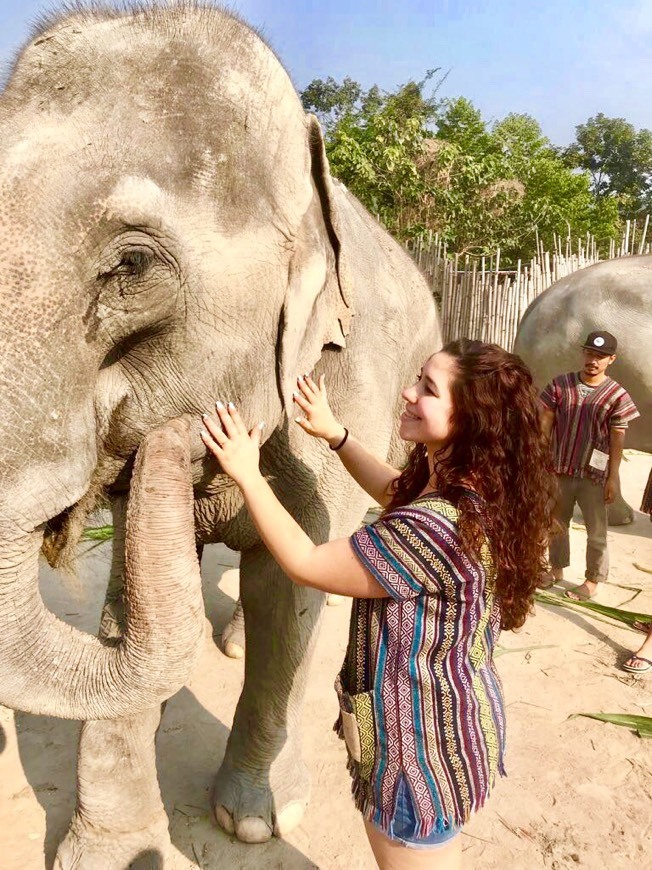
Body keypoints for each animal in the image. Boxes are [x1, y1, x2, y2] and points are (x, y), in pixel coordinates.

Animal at [0, 3, 440, 868]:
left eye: (131, 265)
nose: (182, 433)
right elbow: (130, 597)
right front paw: (109, 852)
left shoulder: (341, 386)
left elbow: (293, 586)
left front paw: (259, 820)